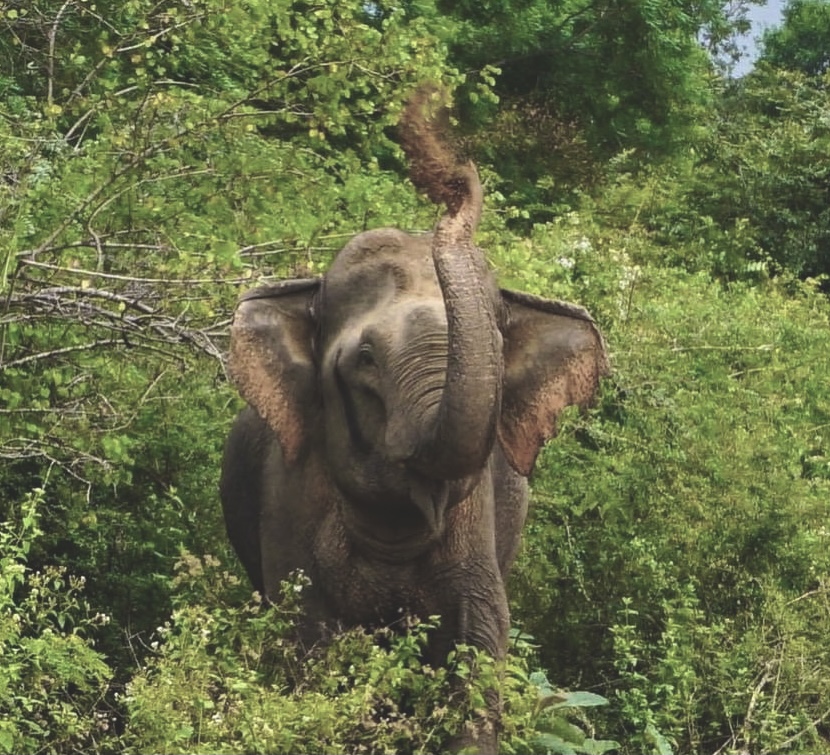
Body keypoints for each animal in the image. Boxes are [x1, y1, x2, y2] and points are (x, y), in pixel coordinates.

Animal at [221, 91, 612, 752]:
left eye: (499, 351)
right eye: (366, 360)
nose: (452, 171)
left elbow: (479, 644)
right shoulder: (288, 498)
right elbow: (310, 650)